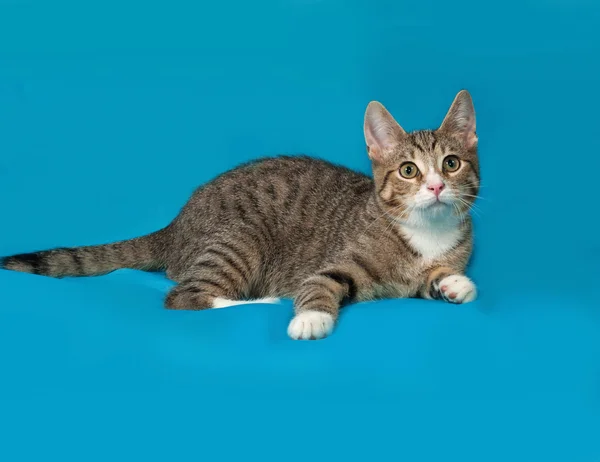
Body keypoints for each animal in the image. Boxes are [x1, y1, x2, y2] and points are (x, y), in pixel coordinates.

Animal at [0, 90, 478, 340]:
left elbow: (435, 280)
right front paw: (310, 317)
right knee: (184, 297)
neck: (425, 235)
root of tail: (175, 224)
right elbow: (320, 284)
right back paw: (259, 299)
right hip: (243, 236)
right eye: (409, 170)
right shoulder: (336, 263)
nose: (436, 186)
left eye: (451, 164)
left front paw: (454, 284)